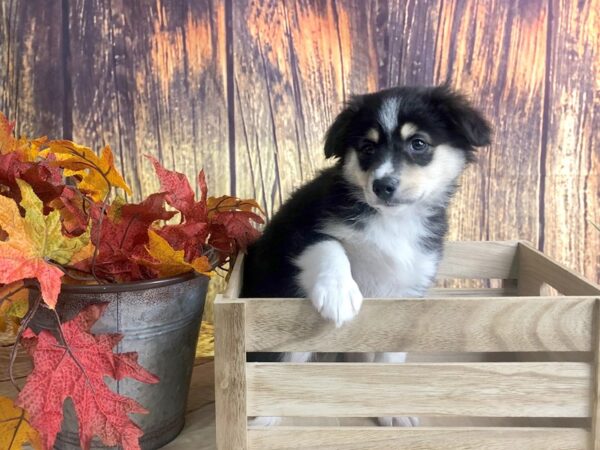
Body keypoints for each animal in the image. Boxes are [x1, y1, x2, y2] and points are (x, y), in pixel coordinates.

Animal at [241, 84, 490, 426]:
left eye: (418, 143)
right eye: (367, 148)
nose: (382, 185)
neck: (392, 221)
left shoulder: (406, 290)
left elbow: (389, 358)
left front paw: (392, 410)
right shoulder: (299, 231)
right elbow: (331, 247)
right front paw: (339, 293)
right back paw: (263, 418)